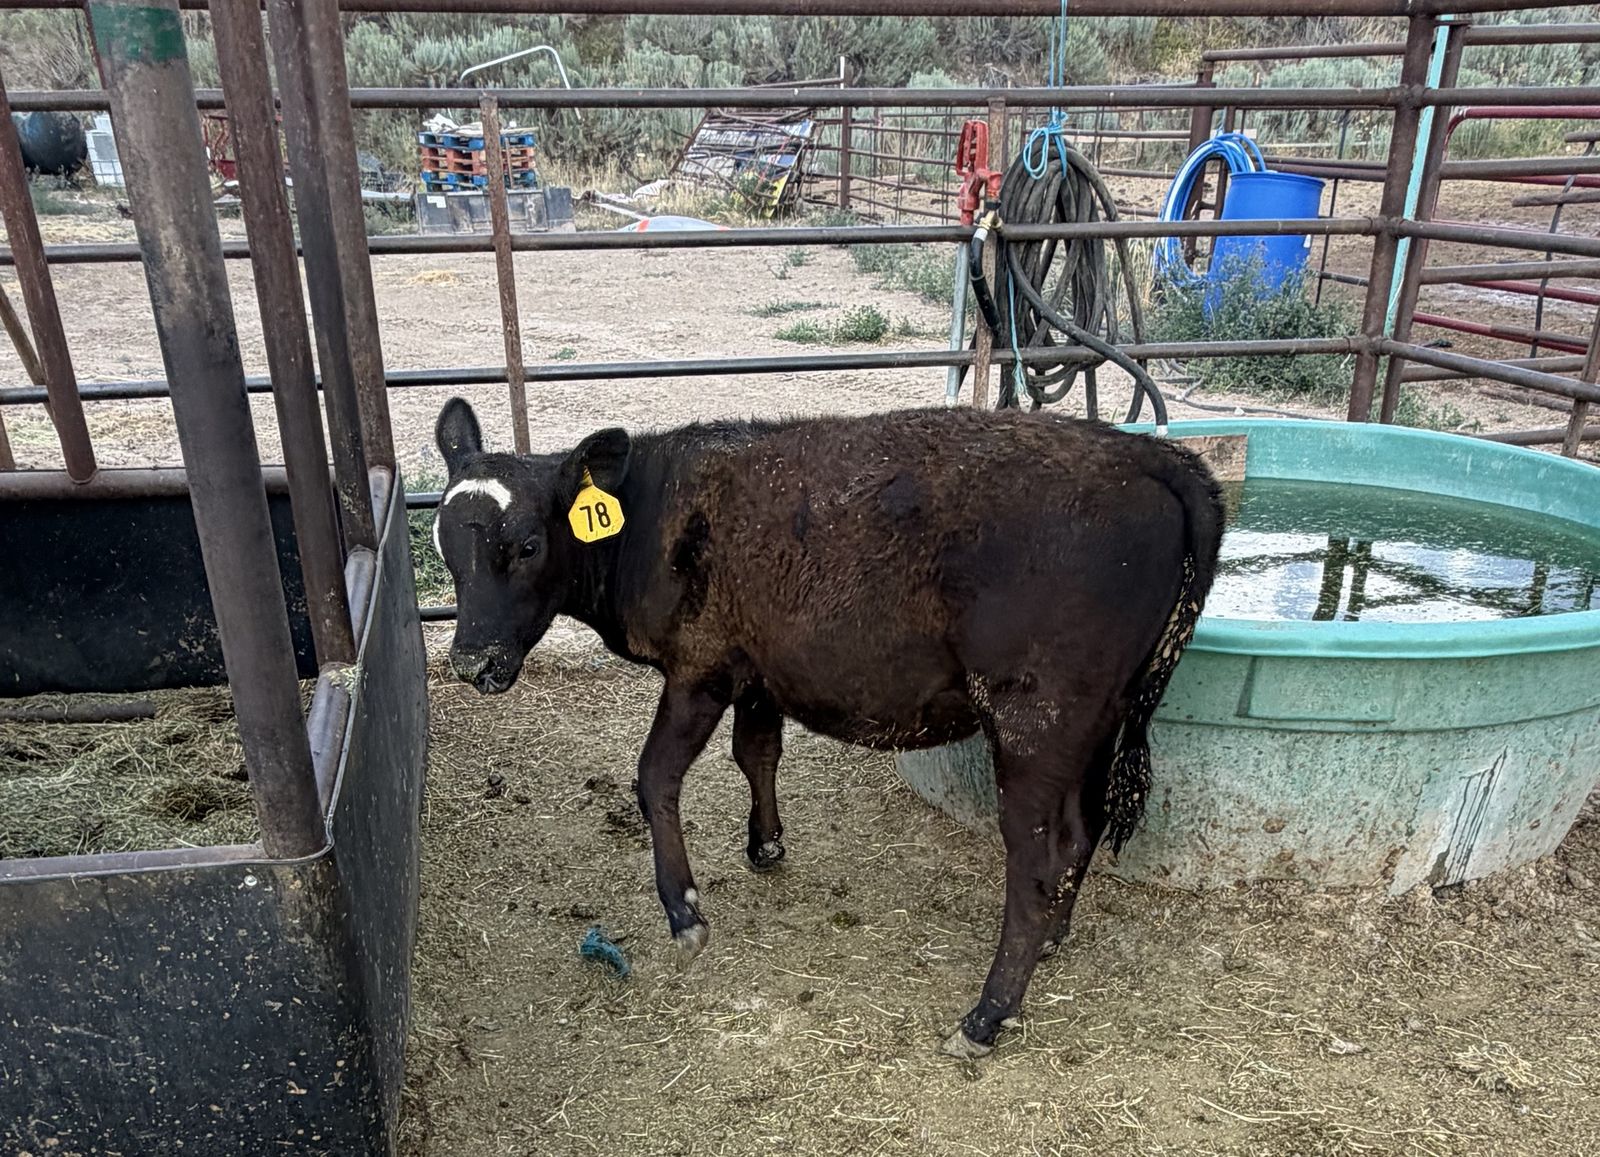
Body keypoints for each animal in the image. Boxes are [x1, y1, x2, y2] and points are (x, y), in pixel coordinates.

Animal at [431, 399, 1223, 1058]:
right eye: (444, 543)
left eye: (528, 545)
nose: (471, 661)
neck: (656, 510)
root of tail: (1150, 455)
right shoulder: (758, 671)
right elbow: (757, 753)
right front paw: (766, 845)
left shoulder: (701, 666)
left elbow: (656, 775)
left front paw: (684, 911)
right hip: (1099, 719)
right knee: (1082, 832)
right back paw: (1054, 937)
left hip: (1034, 719)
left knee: (1037, 856)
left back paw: (987, 1015)